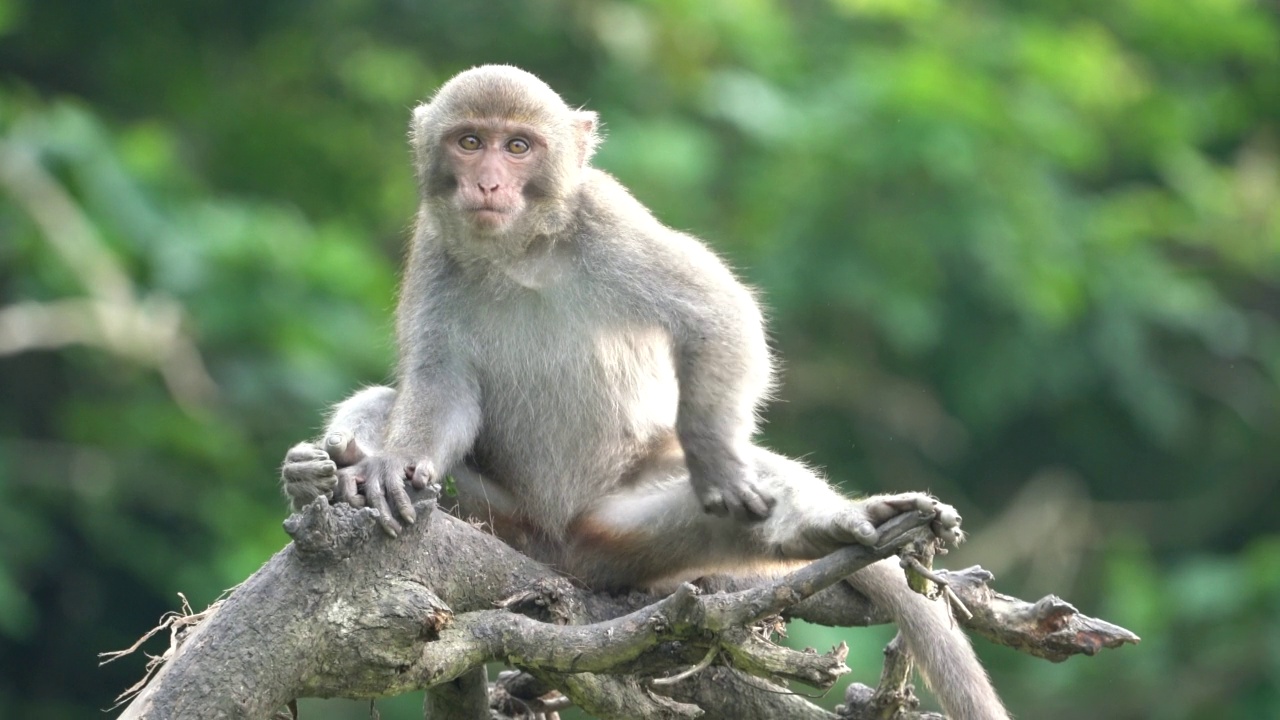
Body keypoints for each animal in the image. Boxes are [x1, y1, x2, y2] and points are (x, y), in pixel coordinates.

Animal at [280, 64, 1008, 712]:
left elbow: (717, 314)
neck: (523, 254)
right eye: (469, 141)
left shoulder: (609, 216)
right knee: (386, 408)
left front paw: (715, 455)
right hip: (503, 517)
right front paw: (389, 464)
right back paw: (326, 471)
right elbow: (440, 387)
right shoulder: (436, 246)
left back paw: (817, 528)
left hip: (620, 534)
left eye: (518, 147)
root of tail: (559, 549)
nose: (487, 181)